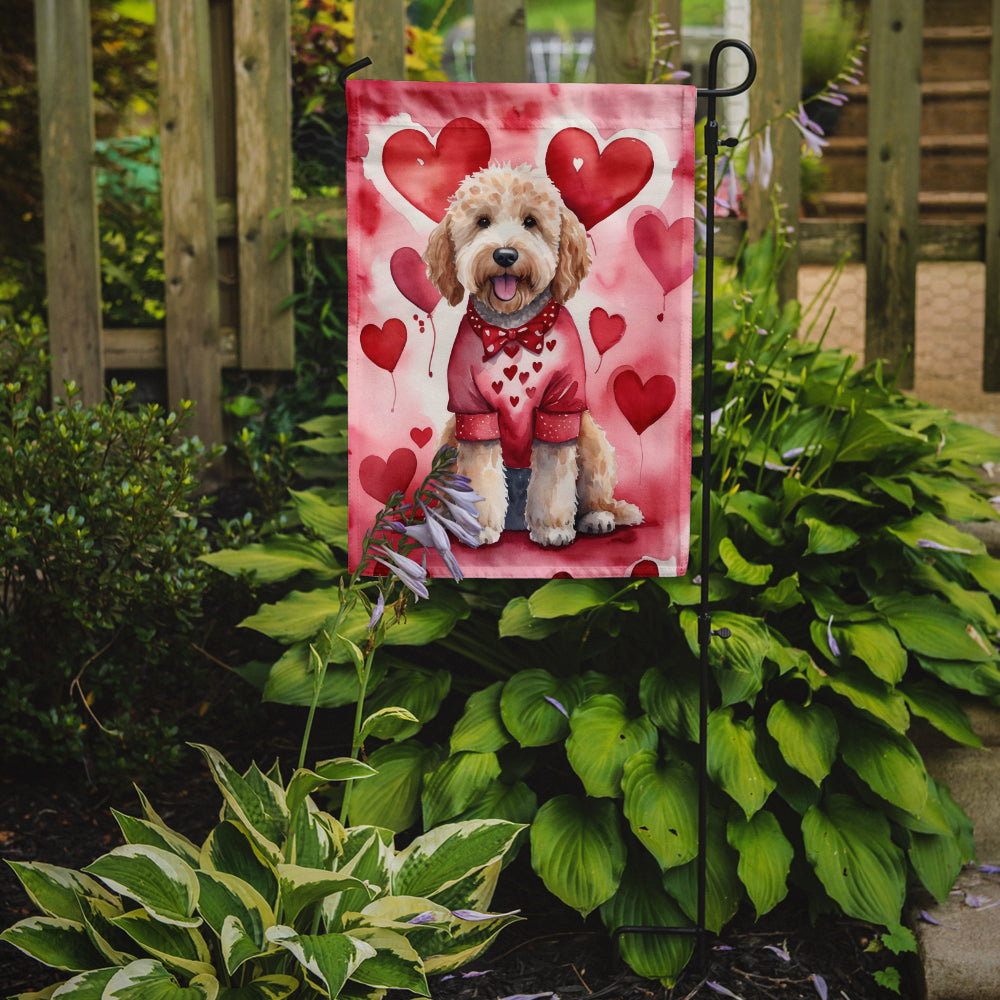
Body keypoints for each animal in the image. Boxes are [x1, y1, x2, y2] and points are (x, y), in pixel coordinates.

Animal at [422, 163, 640, 548]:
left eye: (530, 221)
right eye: (482, 221)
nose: (505, 255)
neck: (513, 334)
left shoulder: (559, 410)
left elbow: (554, 479)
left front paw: (553, 529)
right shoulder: (474, 414)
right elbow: (481, 475)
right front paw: (481, 529)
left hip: (592, 438)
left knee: (598, 496)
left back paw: (597, 517)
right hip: (448, 442)